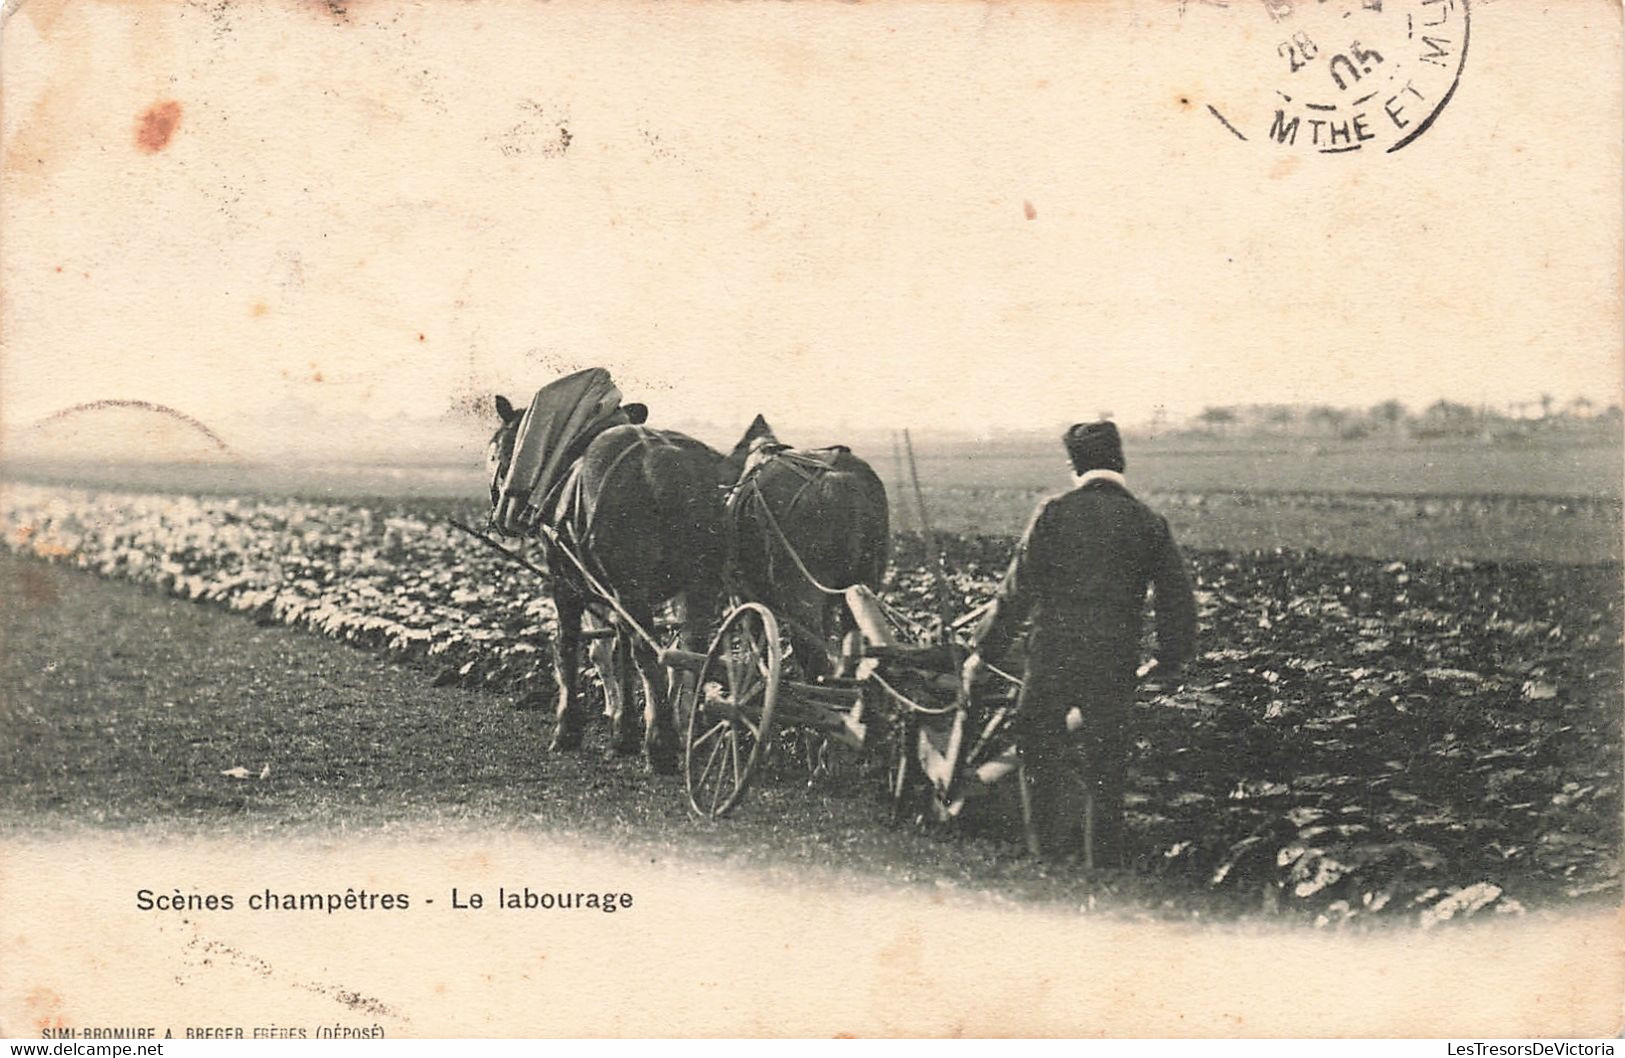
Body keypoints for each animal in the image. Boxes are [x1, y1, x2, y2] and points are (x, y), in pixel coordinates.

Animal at [724, 416, 890, 679]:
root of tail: (837, 483)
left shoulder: (741, 593)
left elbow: (756, 635)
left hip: (801, 593)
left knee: (810, 646)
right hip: (865, 582)